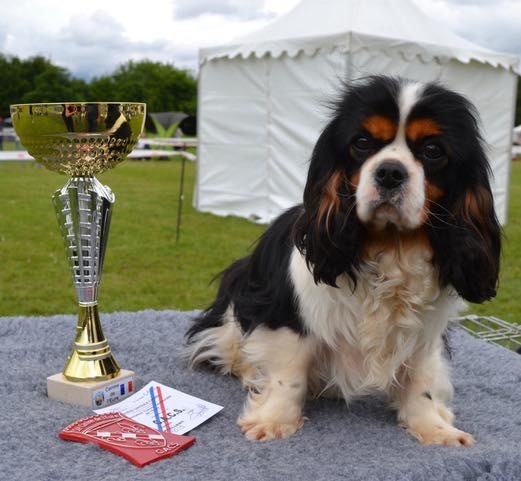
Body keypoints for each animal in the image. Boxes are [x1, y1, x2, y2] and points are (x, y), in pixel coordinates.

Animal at [184, 76, 500, 446]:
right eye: (361, 142)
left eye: (433, 150)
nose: (389, 172)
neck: (392, 245)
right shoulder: (291, 317)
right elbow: (288, 373)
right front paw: (276, 419)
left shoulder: (426, 335)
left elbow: (420, 379)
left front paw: (432, 426)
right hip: (236, 302)